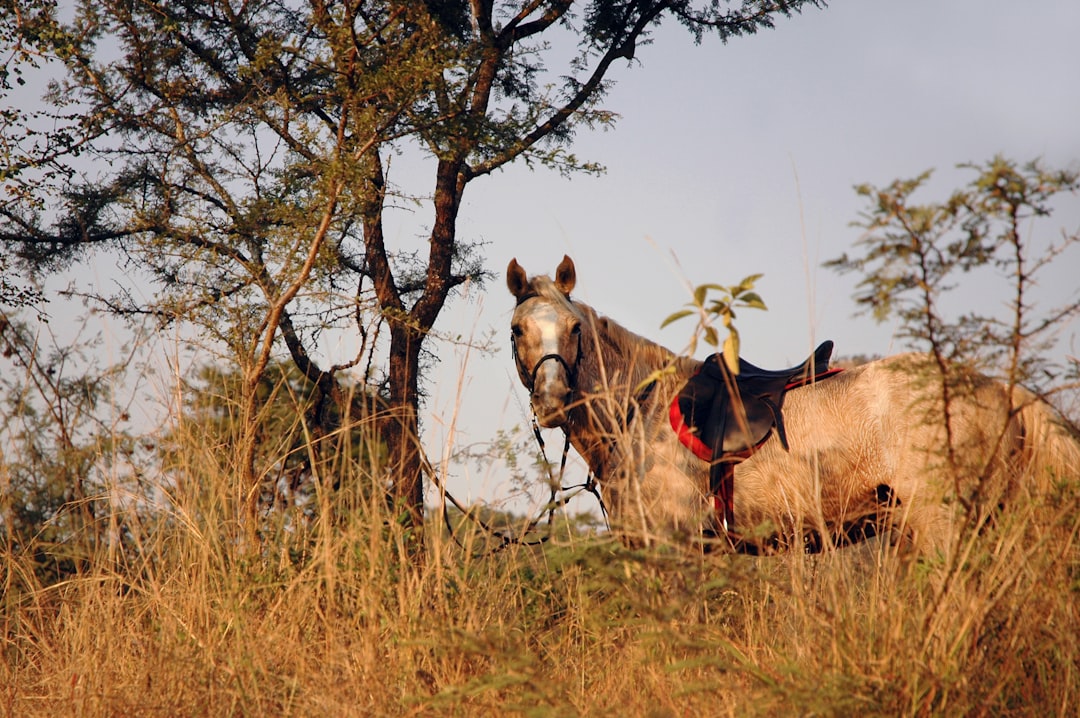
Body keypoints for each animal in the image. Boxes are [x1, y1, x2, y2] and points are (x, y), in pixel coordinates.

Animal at [505, 254, 1080, 550]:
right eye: (517, 330)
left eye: (575, 328)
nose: (552, 401)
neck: (639, 411)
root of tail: (999, 387)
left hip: (945, 524)